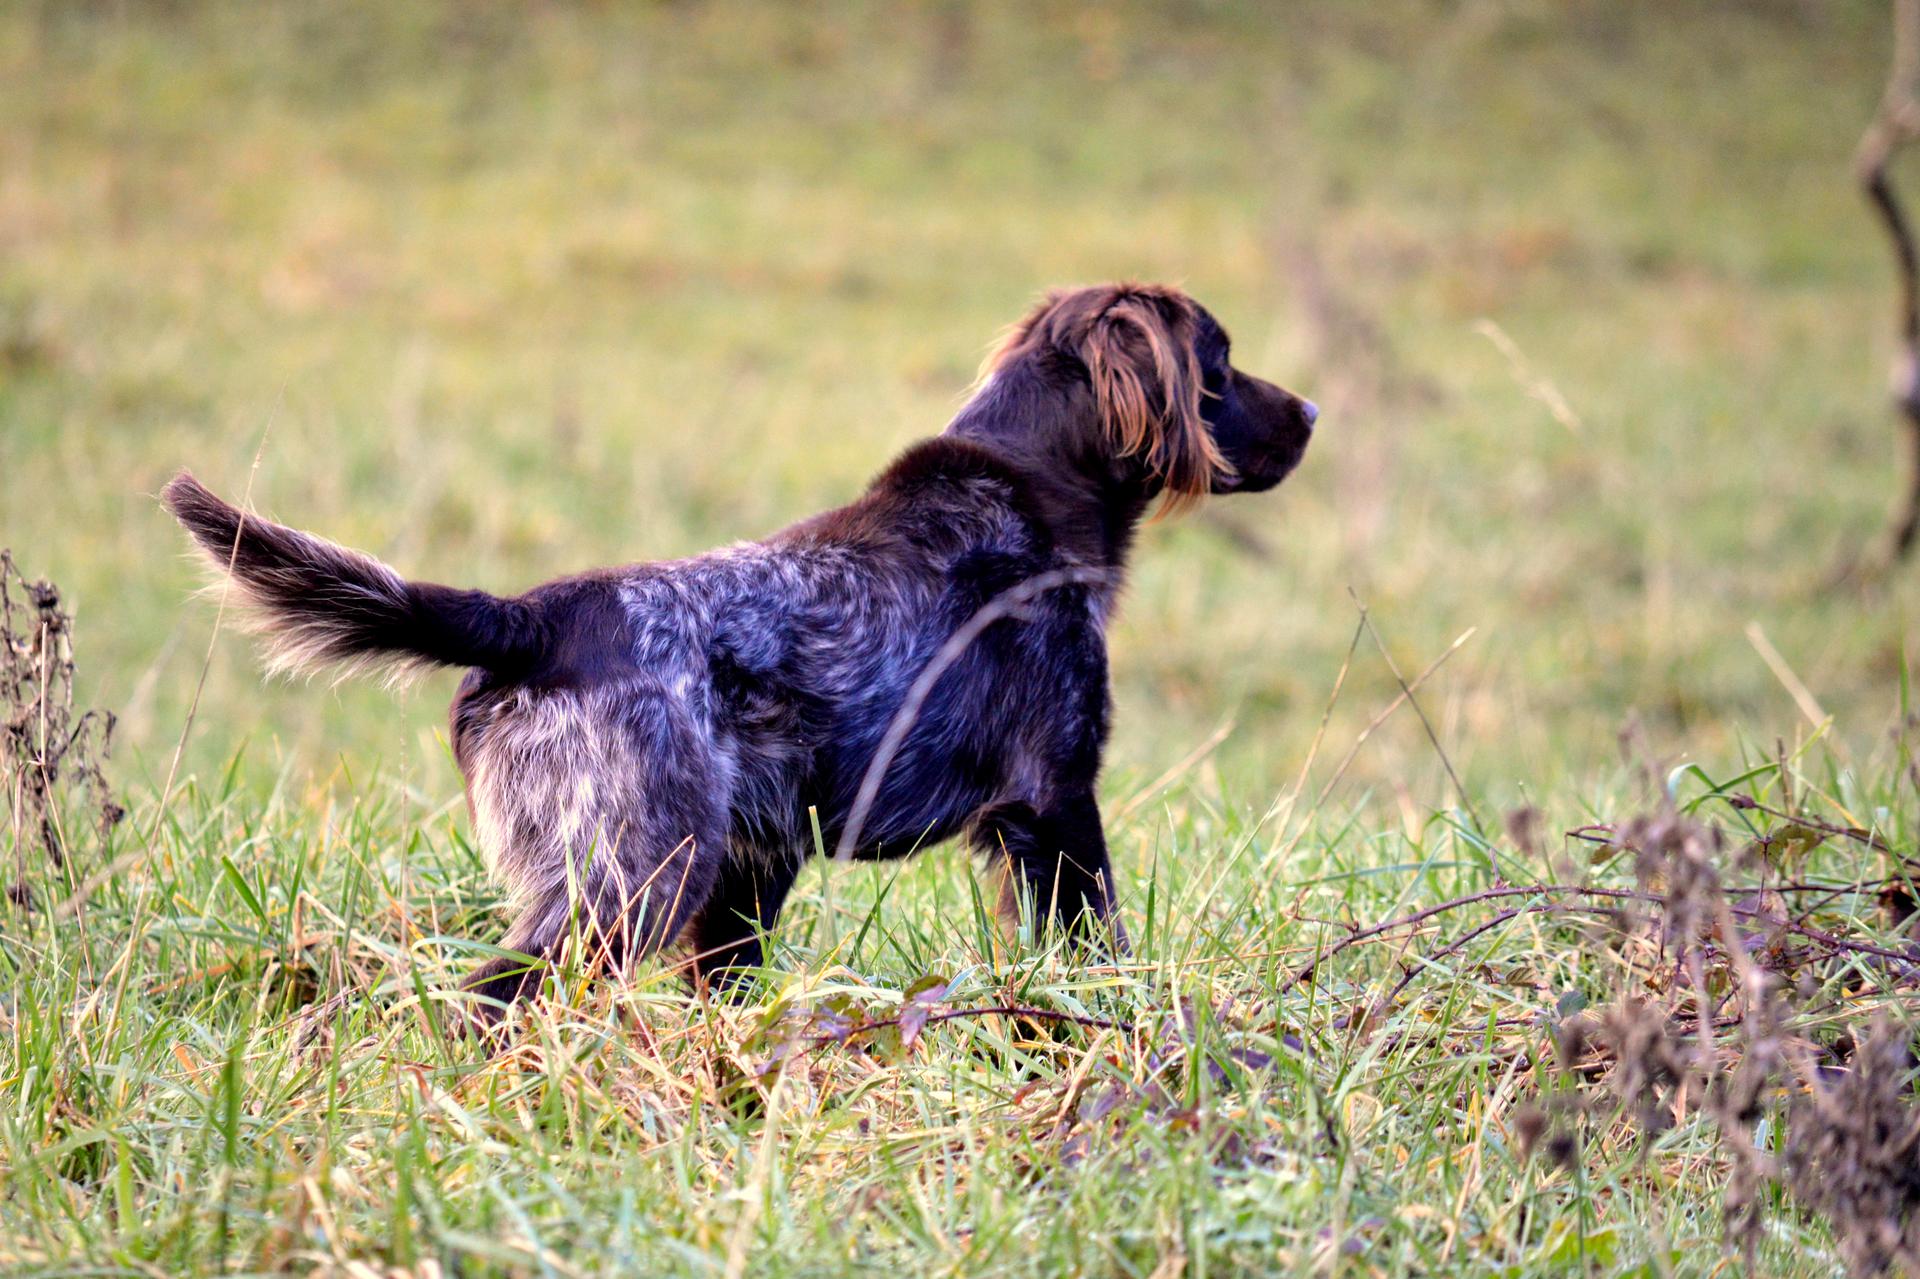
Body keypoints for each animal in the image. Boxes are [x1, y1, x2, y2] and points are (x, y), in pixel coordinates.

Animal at [165, 282, 1313, 1013]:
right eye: (1219, 363)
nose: (1307, 409)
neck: (1037, 487)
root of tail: (532, 618)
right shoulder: (1054, 795)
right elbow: (1100, 942)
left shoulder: (759, 871)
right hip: (626, 876)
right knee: (494, 996)